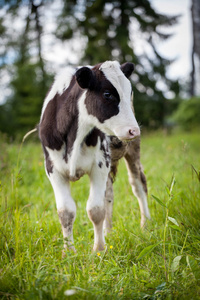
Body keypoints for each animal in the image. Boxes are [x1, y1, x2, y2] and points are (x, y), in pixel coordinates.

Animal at [38, 60, 150, 251]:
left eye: (129, 91)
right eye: (107, 94)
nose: (134, 130)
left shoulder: (100, 165)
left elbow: (96, 210)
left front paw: (99, 250)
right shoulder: (53, 170)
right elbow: (66, 212)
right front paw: (69, 252)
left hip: (132, 151)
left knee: (138, 185)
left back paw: (146, 225)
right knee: (109, 195)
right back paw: (109, 232)